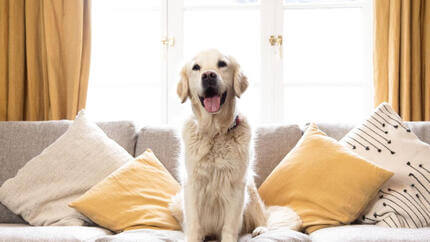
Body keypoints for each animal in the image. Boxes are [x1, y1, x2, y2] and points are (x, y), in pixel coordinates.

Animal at [170, 49, 300, 242]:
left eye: (222, 64)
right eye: (196, 67)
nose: (208, 75)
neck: (215, 132)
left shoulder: (236, 185)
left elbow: (230, 226)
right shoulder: (192, 183)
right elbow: (194, 224)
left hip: (250, 190)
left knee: (263, 218)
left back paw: (261, 229)